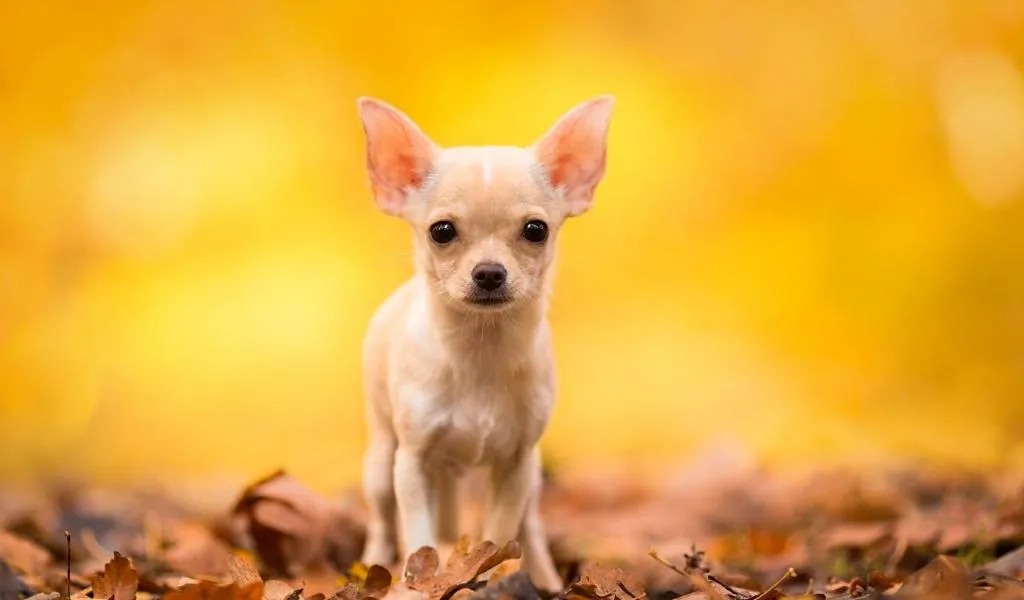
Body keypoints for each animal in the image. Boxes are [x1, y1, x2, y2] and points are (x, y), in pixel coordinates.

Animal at [358, 94, 614, 589]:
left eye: (536, 230)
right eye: (441, 232)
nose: (490, 273)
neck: (481, 350)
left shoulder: (515, 466)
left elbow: (496, 536)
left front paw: (493, 580)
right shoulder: (413, 463)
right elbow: (417, 536)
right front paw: (416, 583)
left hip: (530, 479)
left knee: (528, 527)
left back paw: (545, 577)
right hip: (382, 462)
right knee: (381, 520)